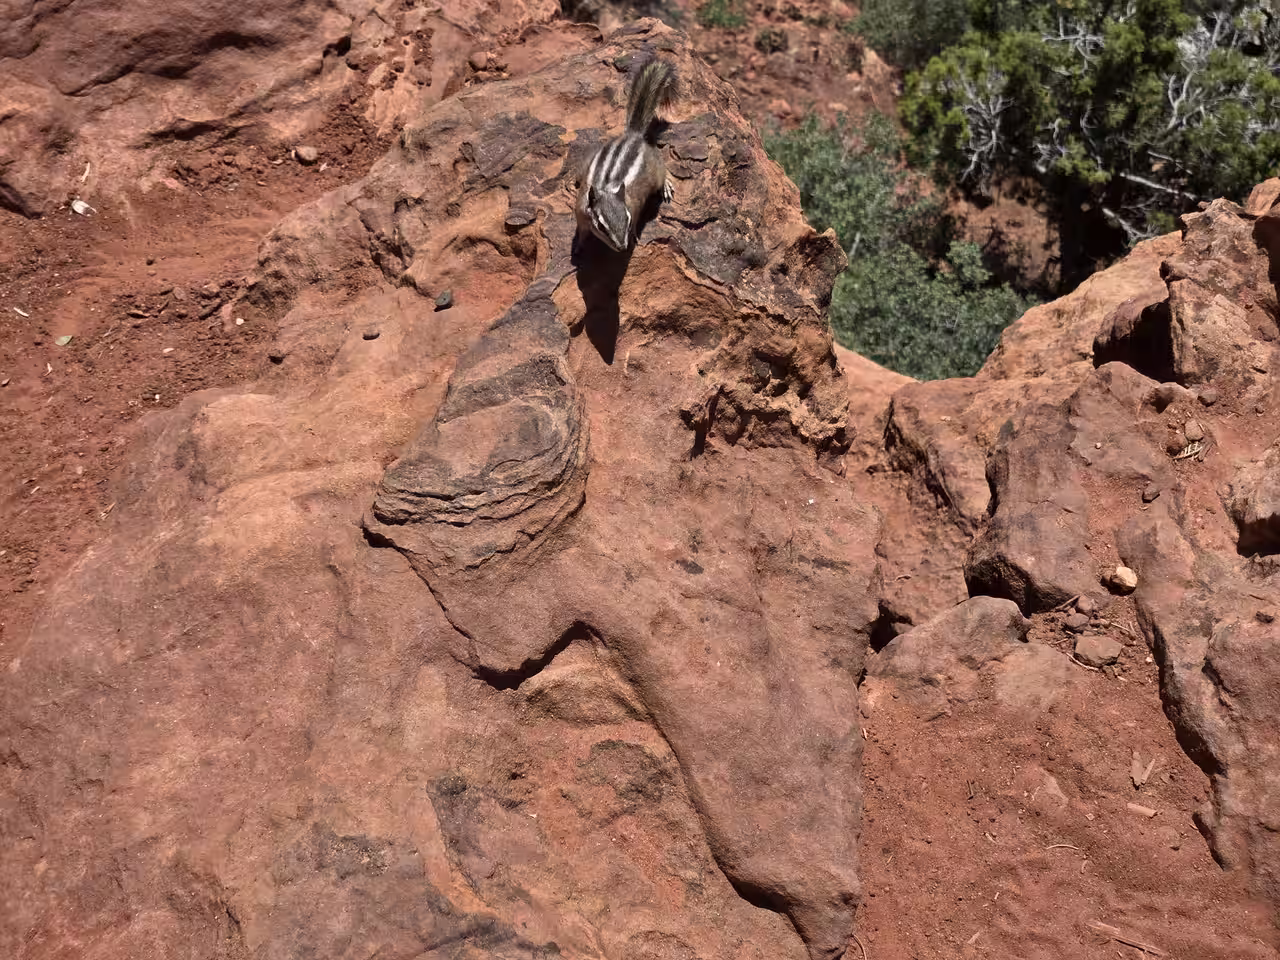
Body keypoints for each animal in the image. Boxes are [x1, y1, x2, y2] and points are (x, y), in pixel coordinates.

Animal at [575, 55, 677, 253]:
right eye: (602, 227)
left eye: (627, 220)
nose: (622, 247)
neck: (607, 189)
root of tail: (633, 135)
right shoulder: (580, 210)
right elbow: (582, 230)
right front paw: (579, 246)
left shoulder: (634, 206)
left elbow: (637, 219)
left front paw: (634, 234)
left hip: (655, 167)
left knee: (663, 170)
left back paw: (666, 185)